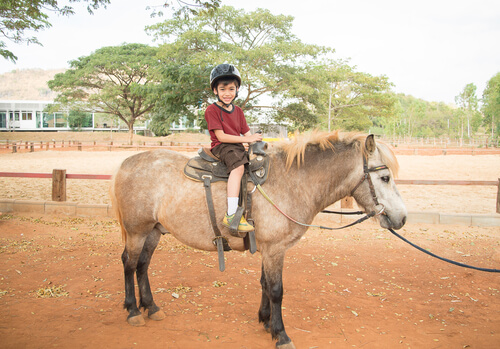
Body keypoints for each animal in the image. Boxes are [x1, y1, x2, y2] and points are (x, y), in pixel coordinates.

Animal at [110, 131, 406, 348]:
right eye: (385, 177)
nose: (401, 218)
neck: (293, 182)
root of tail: (126, 163)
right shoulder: (275, 249)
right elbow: (276, 290)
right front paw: (281, 334)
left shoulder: (268, 249)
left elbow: (264, 283)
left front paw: (265, 322)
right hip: (137, 232)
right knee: (128, 263)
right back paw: (133, 311)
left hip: (154, 231)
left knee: (142, 266)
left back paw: (151, 307)